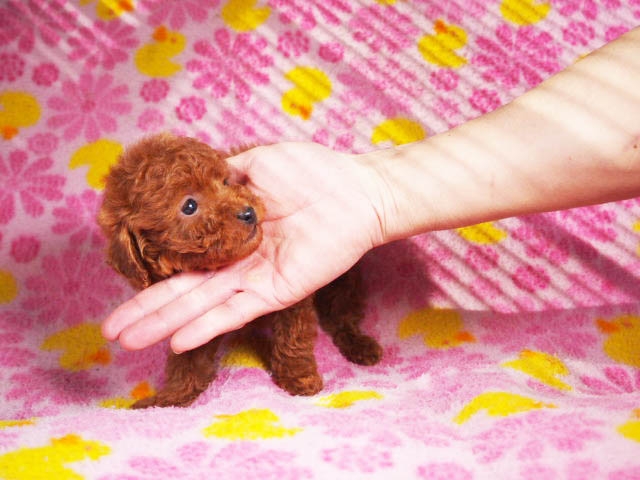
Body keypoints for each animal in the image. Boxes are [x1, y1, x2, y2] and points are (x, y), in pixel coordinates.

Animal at [98, 133, 382, 408]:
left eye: (225, 182)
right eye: (189, 206)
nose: (248, 213)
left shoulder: (293, 297)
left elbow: (293, 337)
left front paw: (299, 377)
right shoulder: (193, 323)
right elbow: (187, 360)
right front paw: (172, 397)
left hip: (343, 278)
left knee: (342, 312)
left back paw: (360, 344)